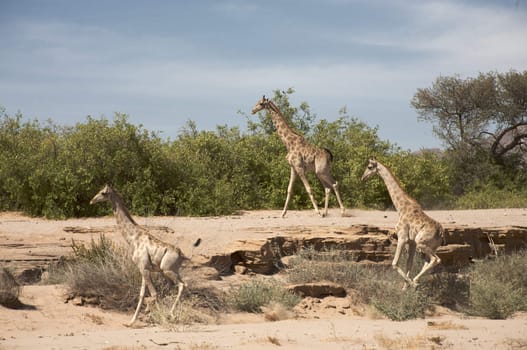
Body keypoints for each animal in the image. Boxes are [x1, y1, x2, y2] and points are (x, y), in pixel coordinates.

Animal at [89, 185, 201, 326]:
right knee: (174, 286)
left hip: (167, 270)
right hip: (172, 270)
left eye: (103, 193)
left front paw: (157, 316)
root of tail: (182, 255)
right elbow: (142, 294)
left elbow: (153, 293)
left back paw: (171, 314)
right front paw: (131, 322)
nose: (92, 201)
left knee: (182, 285)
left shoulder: (144, 268)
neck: (132, 238)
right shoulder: (143, 268)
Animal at [360, 158, 444, 288]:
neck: (401, 208)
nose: (363, 178)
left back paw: (415, 281)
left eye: (369, 167)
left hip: (421, 242)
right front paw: (405, 288)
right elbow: (409, 263)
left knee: (436, 260)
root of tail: (441, 233)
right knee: (428, 261)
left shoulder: (402, 237)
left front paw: (410, 284)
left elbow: (395, 263)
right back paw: (415, 281)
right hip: (430, 245)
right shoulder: (412, 242)